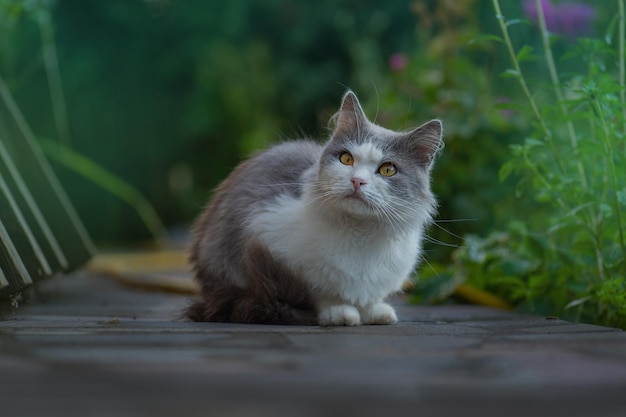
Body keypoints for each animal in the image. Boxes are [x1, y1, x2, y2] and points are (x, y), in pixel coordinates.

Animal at [185, 90, 438, 324]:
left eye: (388, 170)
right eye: (346, 159)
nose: (357, 181)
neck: (361, 232)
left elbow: (369, 298)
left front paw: (374, 312)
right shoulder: (267, 231)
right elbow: (321, 293)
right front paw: (339, 312)